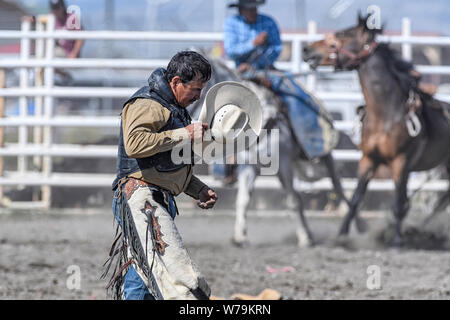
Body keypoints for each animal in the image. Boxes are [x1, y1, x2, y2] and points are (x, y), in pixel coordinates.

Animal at [302, 13, 450, 246]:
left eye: (342, 34)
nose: (307, 49)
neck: (386, 114)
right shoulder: (368, 159)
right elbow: (355, 200)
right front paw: (341, 236)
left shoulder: (401, 163)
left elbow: (396, 203)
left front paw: (397, 241)